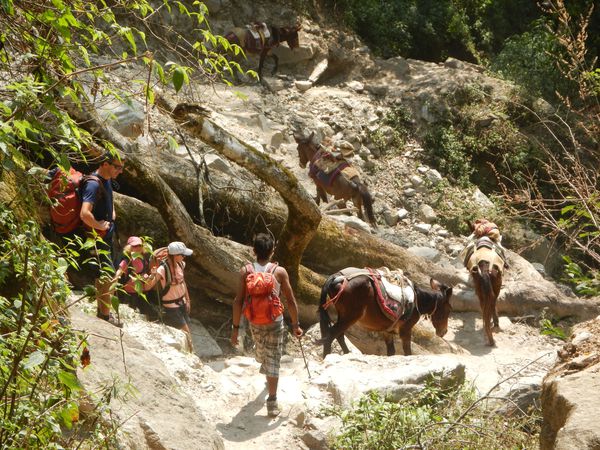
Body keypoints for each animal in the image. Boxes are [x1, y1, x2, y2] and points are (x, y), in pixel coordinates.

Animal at [318, 268, 450, 356]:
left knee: (338, 336)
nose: (444, 332)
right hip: (350, 317)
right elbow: (407, 352)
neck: (417, 299)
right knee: (331, 335)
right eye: (448, 310)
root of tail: (336, 277)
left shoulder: (387, 331)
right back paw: (326, 357)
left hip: (343, 316)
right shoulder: (406, 330)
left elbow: (391, 352)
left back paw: (346, 354)